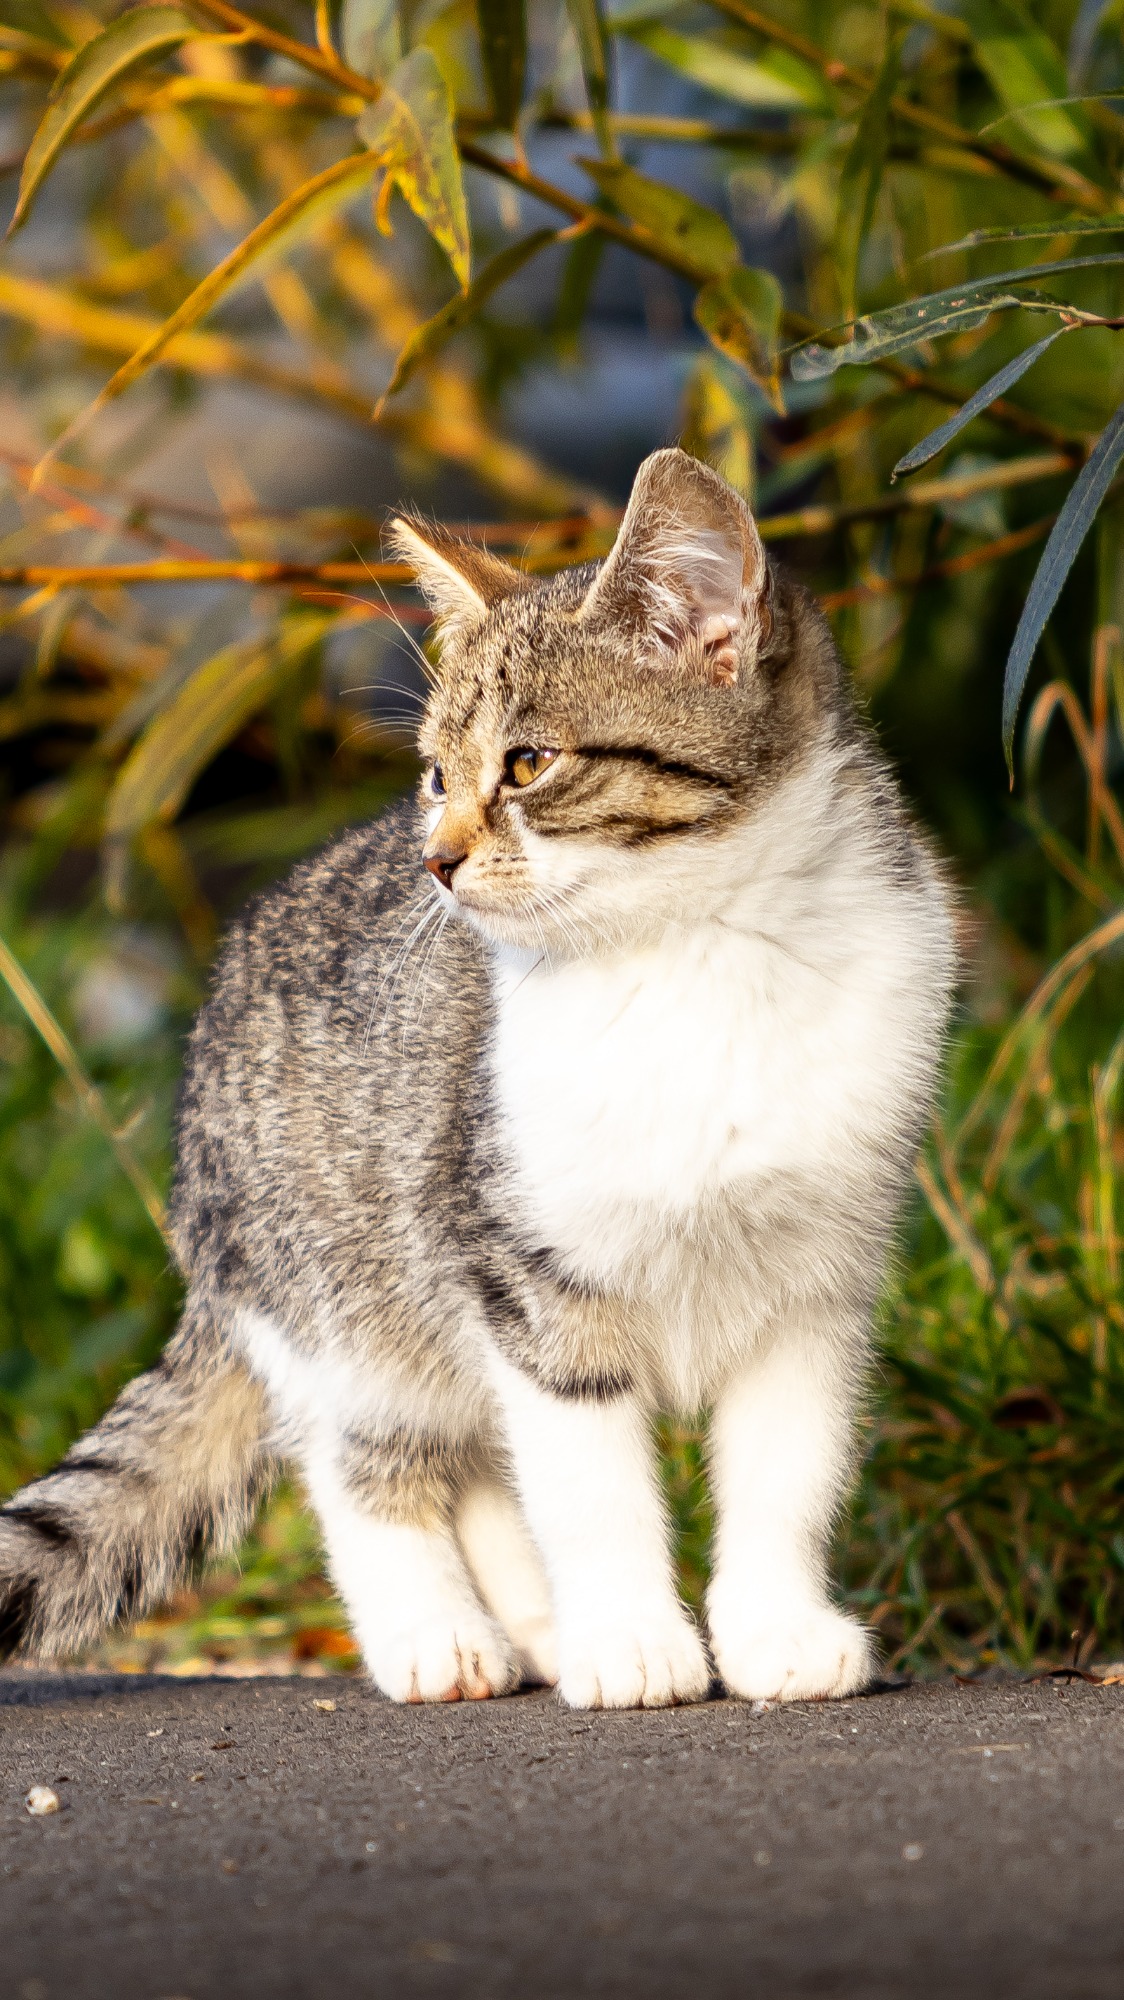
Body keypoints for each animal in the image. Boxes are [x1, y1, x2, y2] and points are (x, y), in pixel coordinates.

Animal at [0, 448, 955, 1707]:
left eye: (528, 763)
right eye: (433, 776)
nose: (433, 858)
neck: (702, 952)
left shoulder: (815, 1281)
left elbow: (783, 1469)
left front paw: (772, 1628)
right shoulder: (523, 1268)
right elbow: (588, 1482)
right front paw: (630, 1637)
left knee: (485, 1466)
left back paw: (537, 1628)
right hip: (341, 1291)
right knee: (366, 1459)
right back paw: (435, 1632)